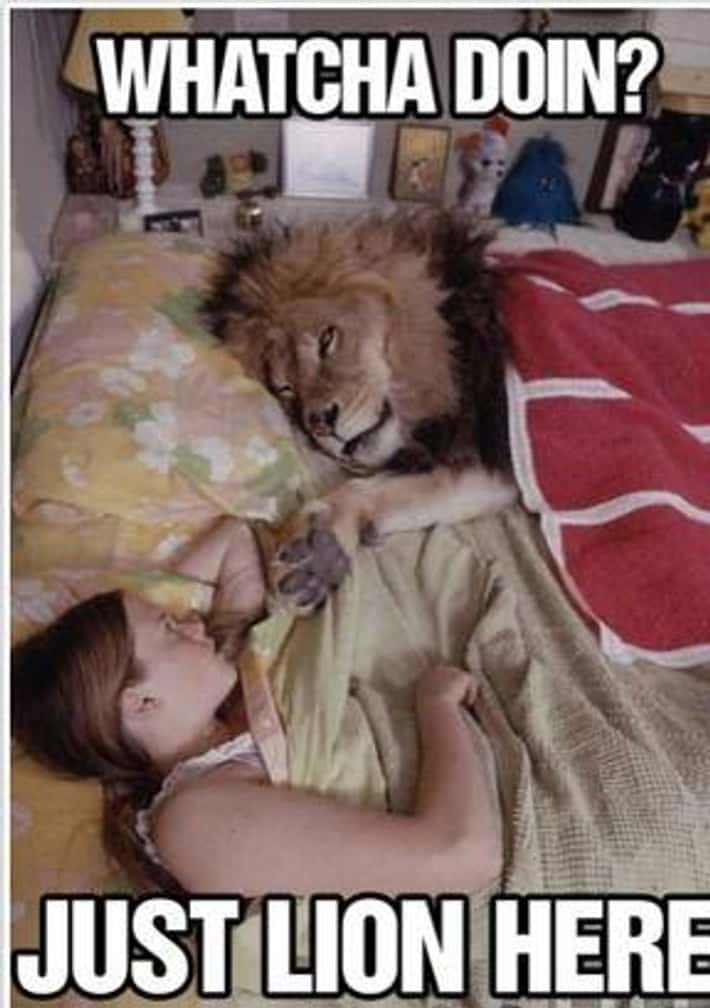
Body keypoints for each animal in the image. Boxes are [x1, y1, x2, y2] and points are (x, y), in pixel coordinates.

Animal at [205, 210, 517, 613]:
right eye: (285, 389)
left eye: (326, 340)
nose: (321, 423)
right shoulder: (496, 460)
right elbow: (404, 490)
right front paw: (320, 551)